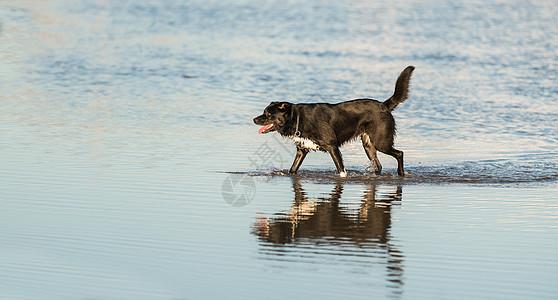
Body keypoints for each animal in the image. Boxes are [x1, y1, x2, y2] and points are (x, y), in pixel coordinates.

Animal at [254, 65, 416, 177]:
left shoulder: (333, 146)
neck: (298, 118)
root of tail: (384, 105)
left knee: (400, 153)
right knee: (378, 165)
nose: (254, 119)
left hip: (380, 141)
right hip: (368, 145)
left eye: (268, 113)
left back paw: (401, 174)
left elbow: (341, 170)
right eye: (264, 111)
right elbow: (292, 169)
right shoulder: (302, 150)